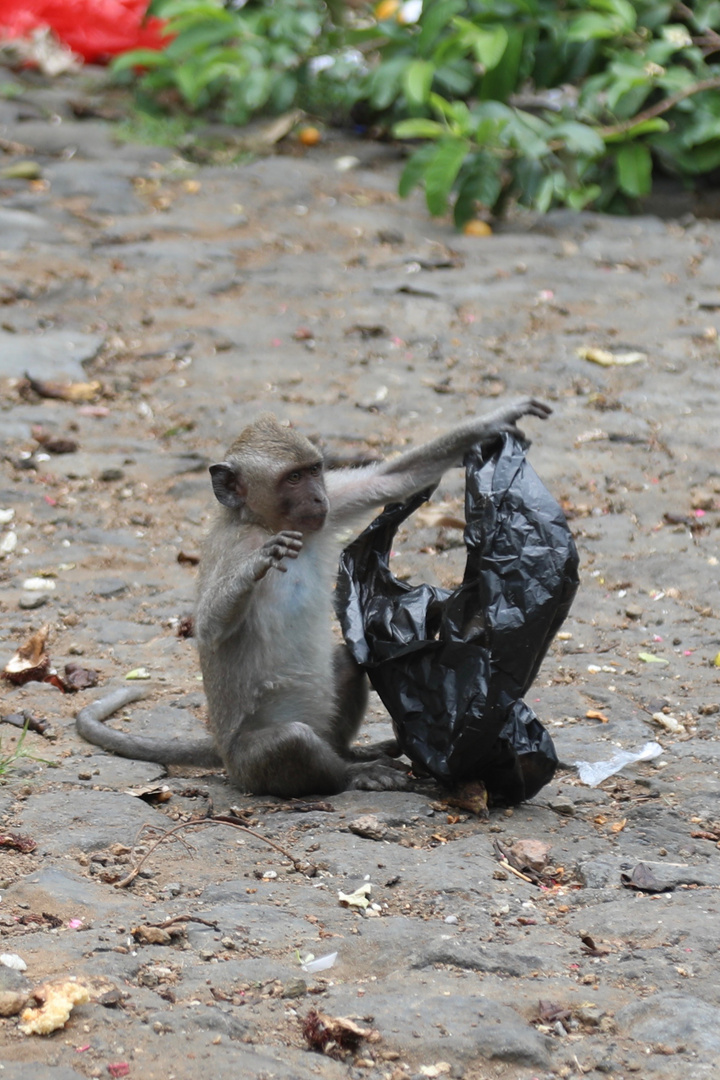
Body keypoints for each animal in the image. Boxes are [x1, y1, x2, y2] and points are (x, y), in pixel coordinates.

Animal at [77, 397, 552, 794]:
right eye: (291, 479)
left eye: (312, 470)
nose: (316, 497)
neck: (263, 522)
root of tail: (223, 754)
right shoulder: (231, 547)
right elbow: (209, 629)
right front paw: (260, 563)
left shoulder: (329, 508)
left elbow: (390, 479)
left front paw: (496, 421)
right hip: (249, 765)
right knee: (294, 740)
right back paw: (353, 773)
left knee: (347, 661)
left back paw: (351, 751)